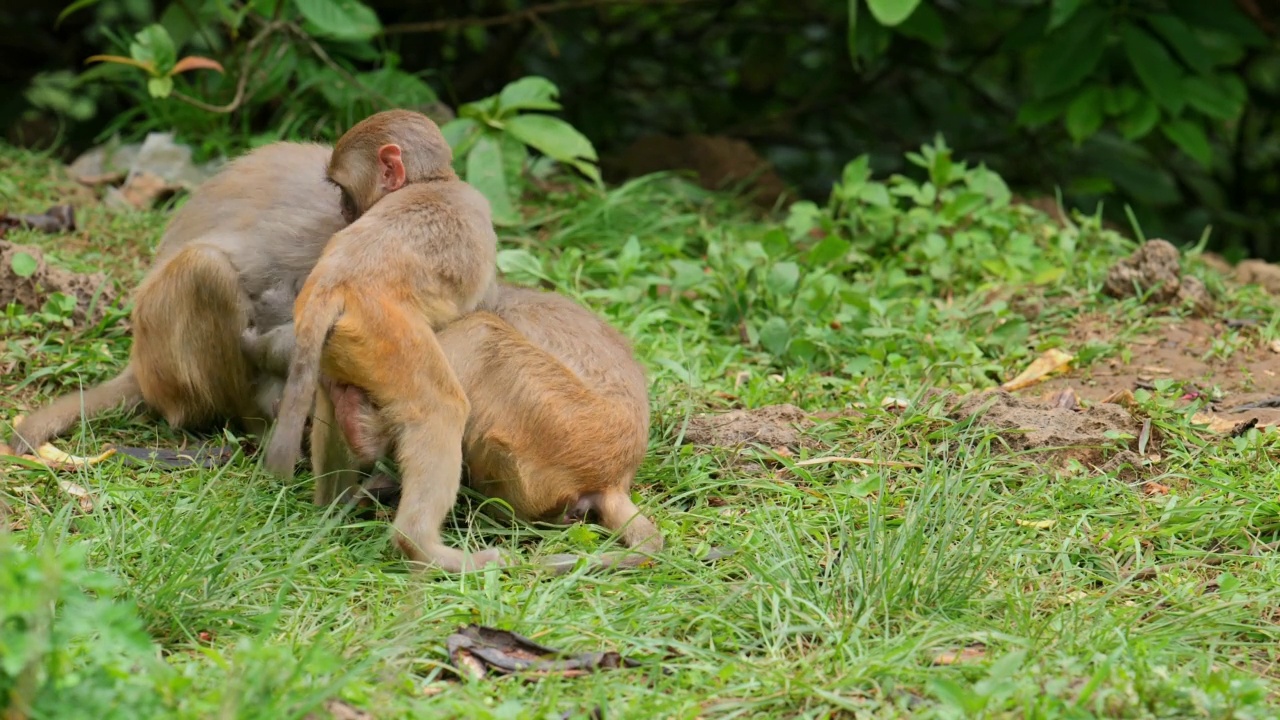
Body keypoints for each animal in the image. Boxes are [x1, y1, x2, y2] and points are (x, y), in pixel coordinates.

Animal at [259, 109, 504, 573]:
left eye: (342, 190)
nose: (343, 210)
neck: (436, 181)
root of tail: (333, 284)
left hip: (343, 343)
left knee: (329, 399)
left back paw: (332, 503)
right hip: (387, 335)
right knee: (440, 409)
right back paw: (420, 546)